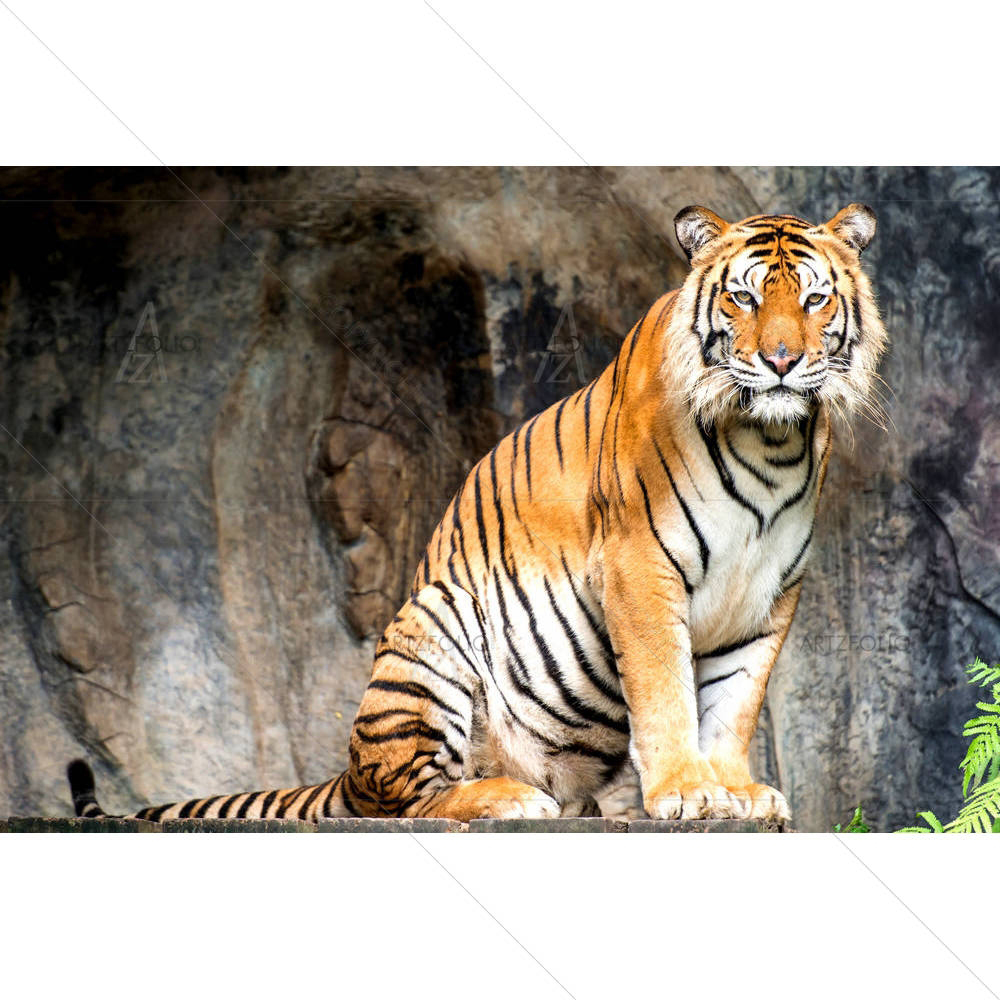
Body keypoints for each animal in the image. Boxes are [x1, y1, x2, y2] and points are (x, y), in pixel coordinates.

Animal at [68, 203, 887, 826]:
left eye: (813, 300)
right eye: (743, 298)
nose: (781, 362)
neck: (771, 439)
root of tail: (345, 770)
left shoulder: (769, 594)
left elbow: (735, 702)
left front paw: (735, 790)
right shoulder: (639, 568)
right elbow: (665, 691)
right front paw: (687, 791)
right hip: (436, 625)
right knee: (410, 798)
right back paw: (508, 796)